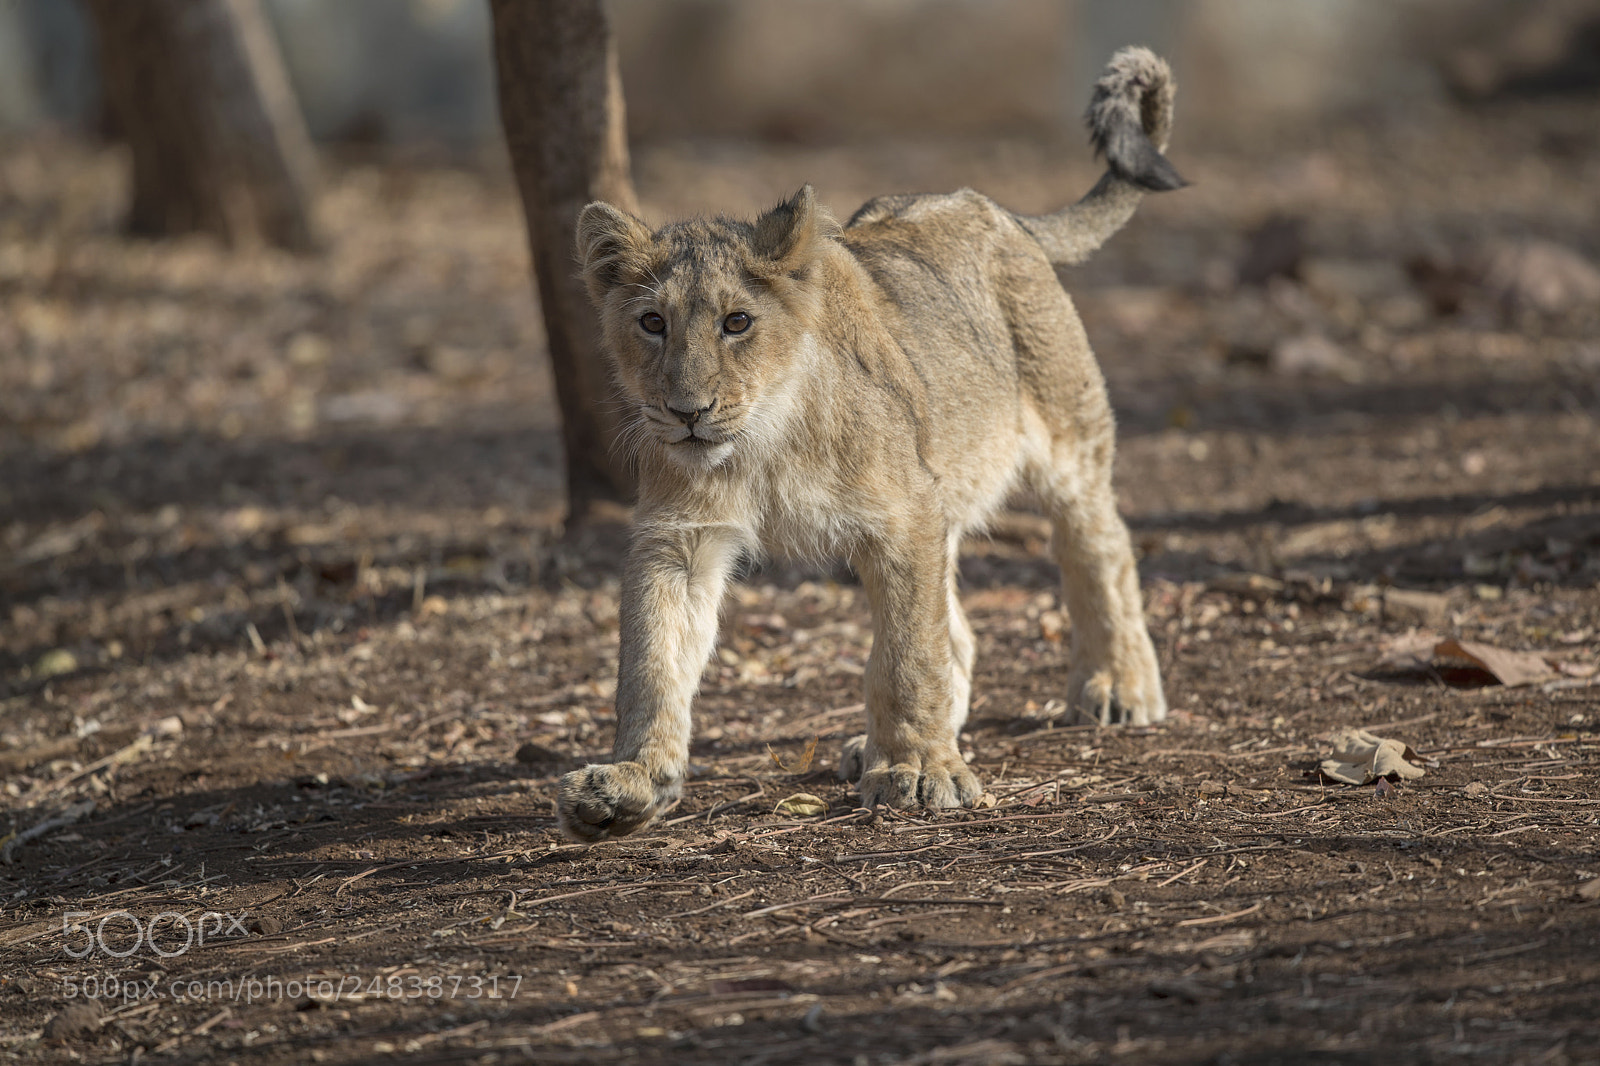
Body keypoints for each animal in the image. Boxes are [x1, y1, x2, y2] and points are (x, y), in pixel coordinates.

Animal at [556, 47, 1186, 842]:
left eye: (737, 322)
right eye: (651, 323)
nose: (688, 412)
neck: (763, 444)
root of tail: (986, 203)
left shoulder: (903, 517)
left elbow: (908, 655)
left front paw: (918, 771)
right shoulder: (681, 538)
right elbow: (652, 663)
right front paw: (630, 783)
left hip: (1068, 442)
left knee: (1098, 547)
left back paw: (1117, 686)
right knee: (961, 629)